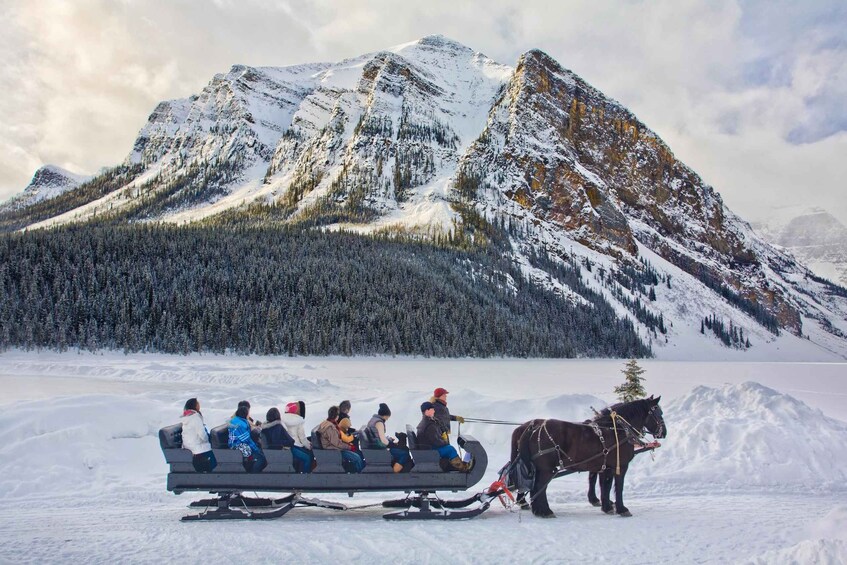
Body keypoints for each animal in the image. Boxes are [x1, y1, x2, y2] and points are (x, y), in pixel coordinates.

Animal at [506, 394, 664, 516]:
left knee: (536, 487)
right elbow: (618, 487)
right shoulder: (620, 465)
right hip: (546, 468)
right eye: (659, 413)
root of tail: (531, 428)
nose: (664, 432)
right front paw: (621, 508)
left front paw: (606, 506)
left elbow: (604, 485)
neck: (617, 429)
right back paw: (544, 511)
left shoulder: (605, 466)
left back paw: (536, 508)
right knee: (539, 487)